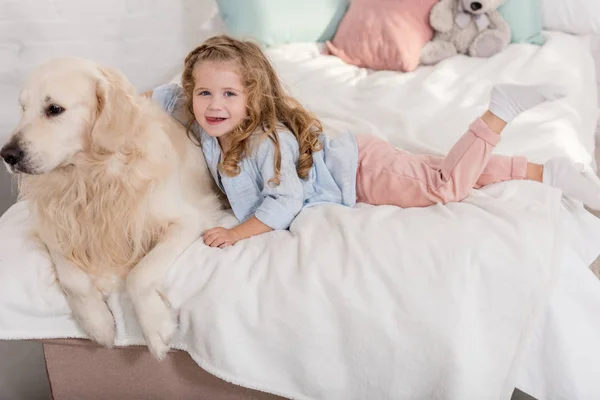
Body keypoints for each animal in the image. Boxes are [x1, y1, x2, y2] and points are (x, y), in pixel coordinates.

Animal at [0, 57, 220, 360]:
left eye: (54, 109)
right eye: (23, 108)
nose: (6, 155)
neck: (91, 178)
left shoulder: (189, 220)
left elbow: (139, 273)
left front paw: (156, 327)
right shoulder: (53, 225)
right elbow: (73, 279)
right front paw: (99, 323)